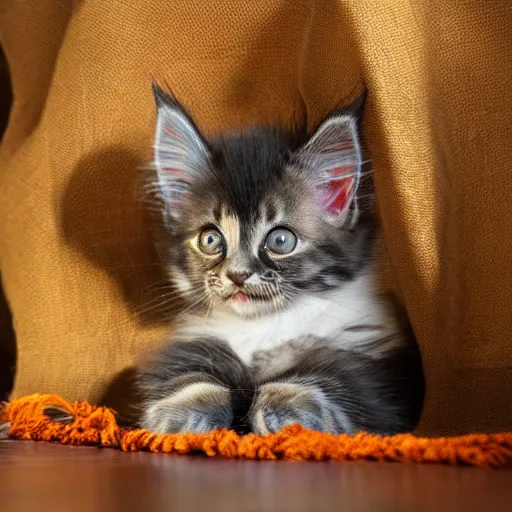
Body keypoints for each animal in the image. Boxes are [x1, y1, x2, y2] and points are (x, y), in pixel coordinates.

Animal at [137, 85, 424, 436]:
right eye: (210, 240)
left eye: (281, 241)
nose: (237, 274)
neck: (266, 325)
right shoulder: (194, 343)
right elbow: (191, 375)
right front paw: (182, 412)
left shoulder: (377, 371)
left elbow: (332, 378)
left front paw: (285, 406)